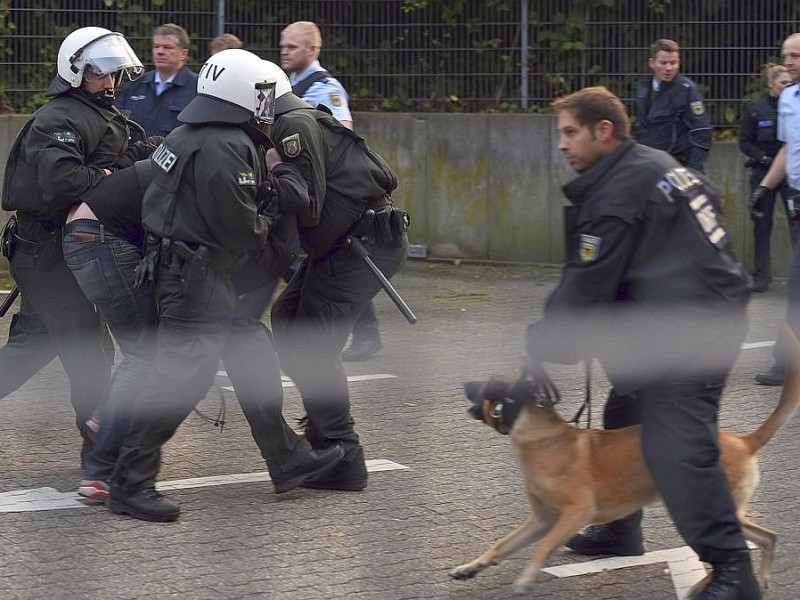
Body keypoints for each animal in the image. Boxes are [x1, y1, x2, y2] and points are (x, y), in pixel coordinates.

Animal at [450, 328, 800, 596]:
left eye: (488, 384)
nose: (464, 384)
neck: (539, 434)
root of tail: (742, 441)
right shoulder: (543, 519)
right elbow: (501, 545)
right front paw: (471, 567)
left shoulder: (576, 512)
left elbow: (543, 547)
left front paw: (525, 578)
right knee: (766, 538)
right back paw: (756, 579)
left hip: (697, 508)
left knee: (731, 550)